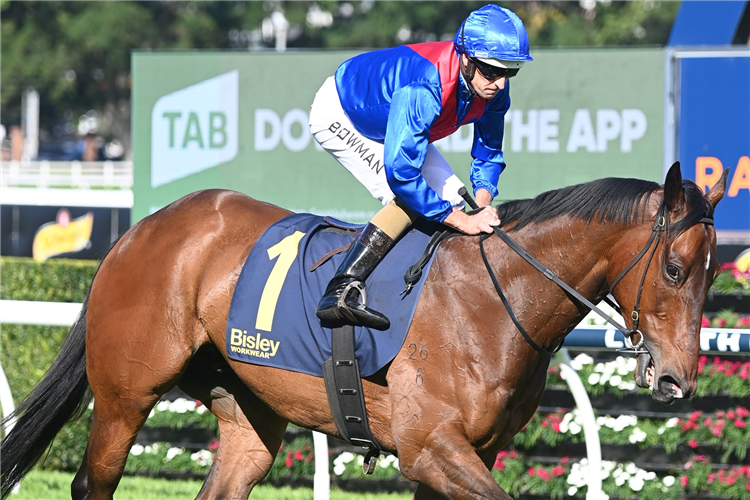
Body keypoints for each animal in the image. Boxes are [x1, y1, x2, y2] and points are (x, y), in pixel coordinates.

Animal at [0, 162, 728, 498]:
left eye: (713, 272)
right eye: (672, 267)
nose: (677, 379)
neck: (494, 304)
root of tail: (140, 230)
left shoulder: (470, 452)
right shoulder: (430, 446)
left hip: (249, 411)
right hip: (125, 394)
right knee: (93, 482)